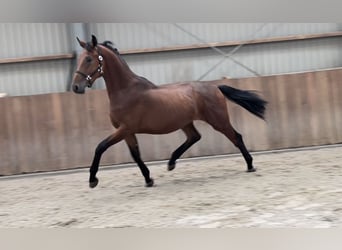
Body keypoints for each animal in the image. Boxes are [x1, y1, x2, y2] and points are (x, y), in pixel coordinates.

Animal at [71, 34, 266, 188]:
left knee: (236, 137)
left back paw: (250, 165)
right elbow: (135, 155)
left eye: (88, 59)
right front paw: (149, 180)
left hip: (218, 120)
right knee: (195, 137)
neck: (125, 91)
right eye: (79, 58)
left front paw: (93, 180)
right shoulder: (127, 132)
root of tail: (215, 87)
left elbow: (100, 147)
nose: (76, 87)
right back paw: (171, 163)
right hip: (186, 122)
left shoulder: (124, 129)